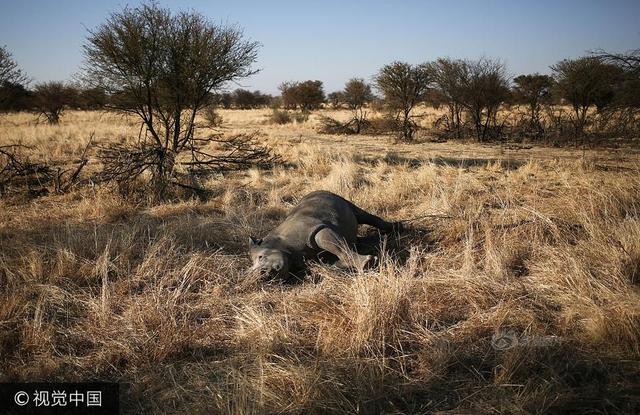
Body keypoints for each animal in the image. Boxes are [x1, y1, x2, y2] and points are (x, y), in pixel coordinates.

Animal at [248, 192, 398, 280]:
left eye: (261, 257)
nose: (262, 275)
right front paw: (339, 266)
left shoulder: (313, 230)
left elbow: (336, 245)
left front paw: (367, 264)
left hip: (336, 197)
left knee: (360, 214)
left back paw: (395, 228)